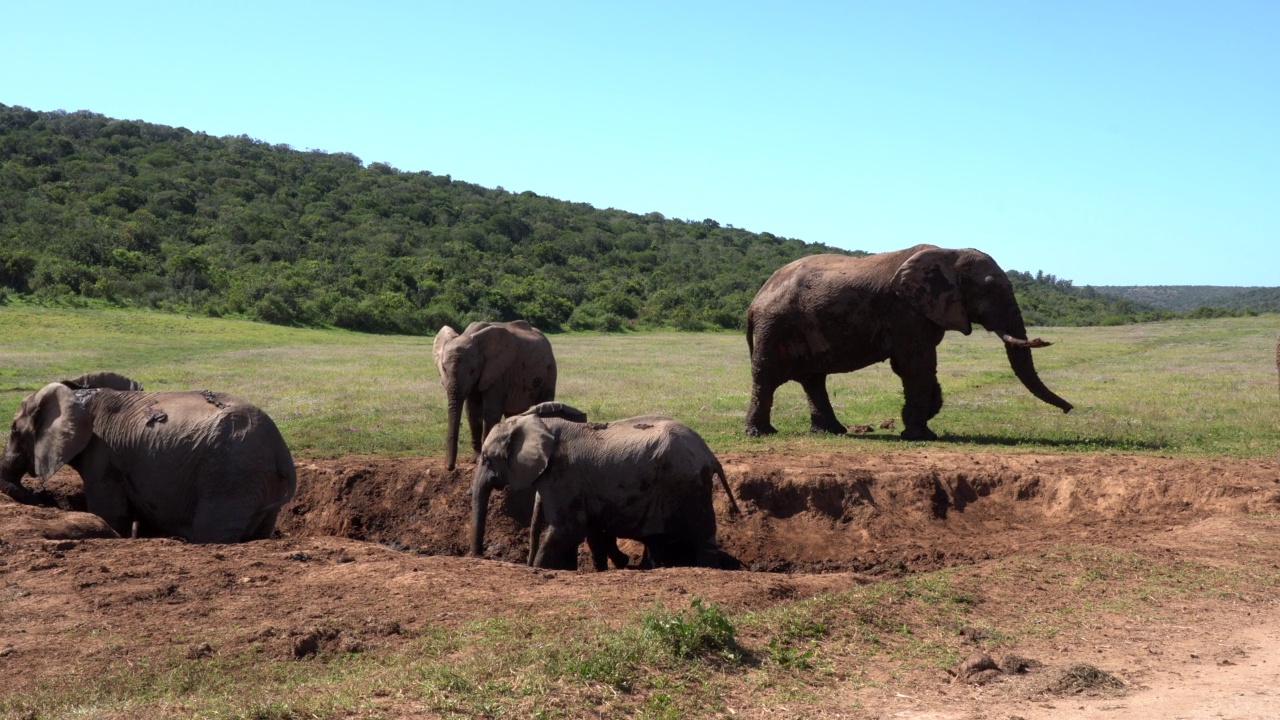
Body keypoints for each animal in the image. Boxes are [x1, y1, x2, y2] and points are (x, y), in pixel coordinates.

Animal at [1, 371, 294, 540]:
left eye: (14, 429)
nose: (45, 498)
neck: (78, 394)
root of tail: (281, 448)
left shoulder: (101, 452)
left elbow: (108, 511)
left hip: (232, 474)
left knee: (213, 531)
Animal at [435, 319, 555, 471]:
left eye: (473, 370)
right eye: (443, 368)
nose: (449, 468)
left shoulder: (498, 374)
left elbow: (490, 412)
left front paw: (483, 459)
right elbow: (473, 412)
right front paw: (475, 460)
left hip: (550, 370)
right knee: (513, 414)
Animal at [473, 399, 747, 568]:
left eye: (486, 458)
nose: (478, 555)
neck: (540, 424)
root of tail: (708, 452)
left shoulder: (563, 474)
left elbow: (568, 528)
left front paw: (540, 568)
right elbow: (590, 530)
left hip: (687, 483)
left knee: (700, 533)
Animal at [747, 243, 1075, 440]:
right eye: (991, 289)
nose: (1068, 410)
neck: (948, 253)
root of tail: (755, 300)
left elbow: (918, 368)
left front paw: (921, 417)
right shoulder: (906, 312)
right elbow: (916, 366)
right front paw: (921, 434)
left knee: (814, 380)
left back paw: (831, 432)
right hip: (773, 326)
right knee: (767, 377)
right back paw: (761, 434)